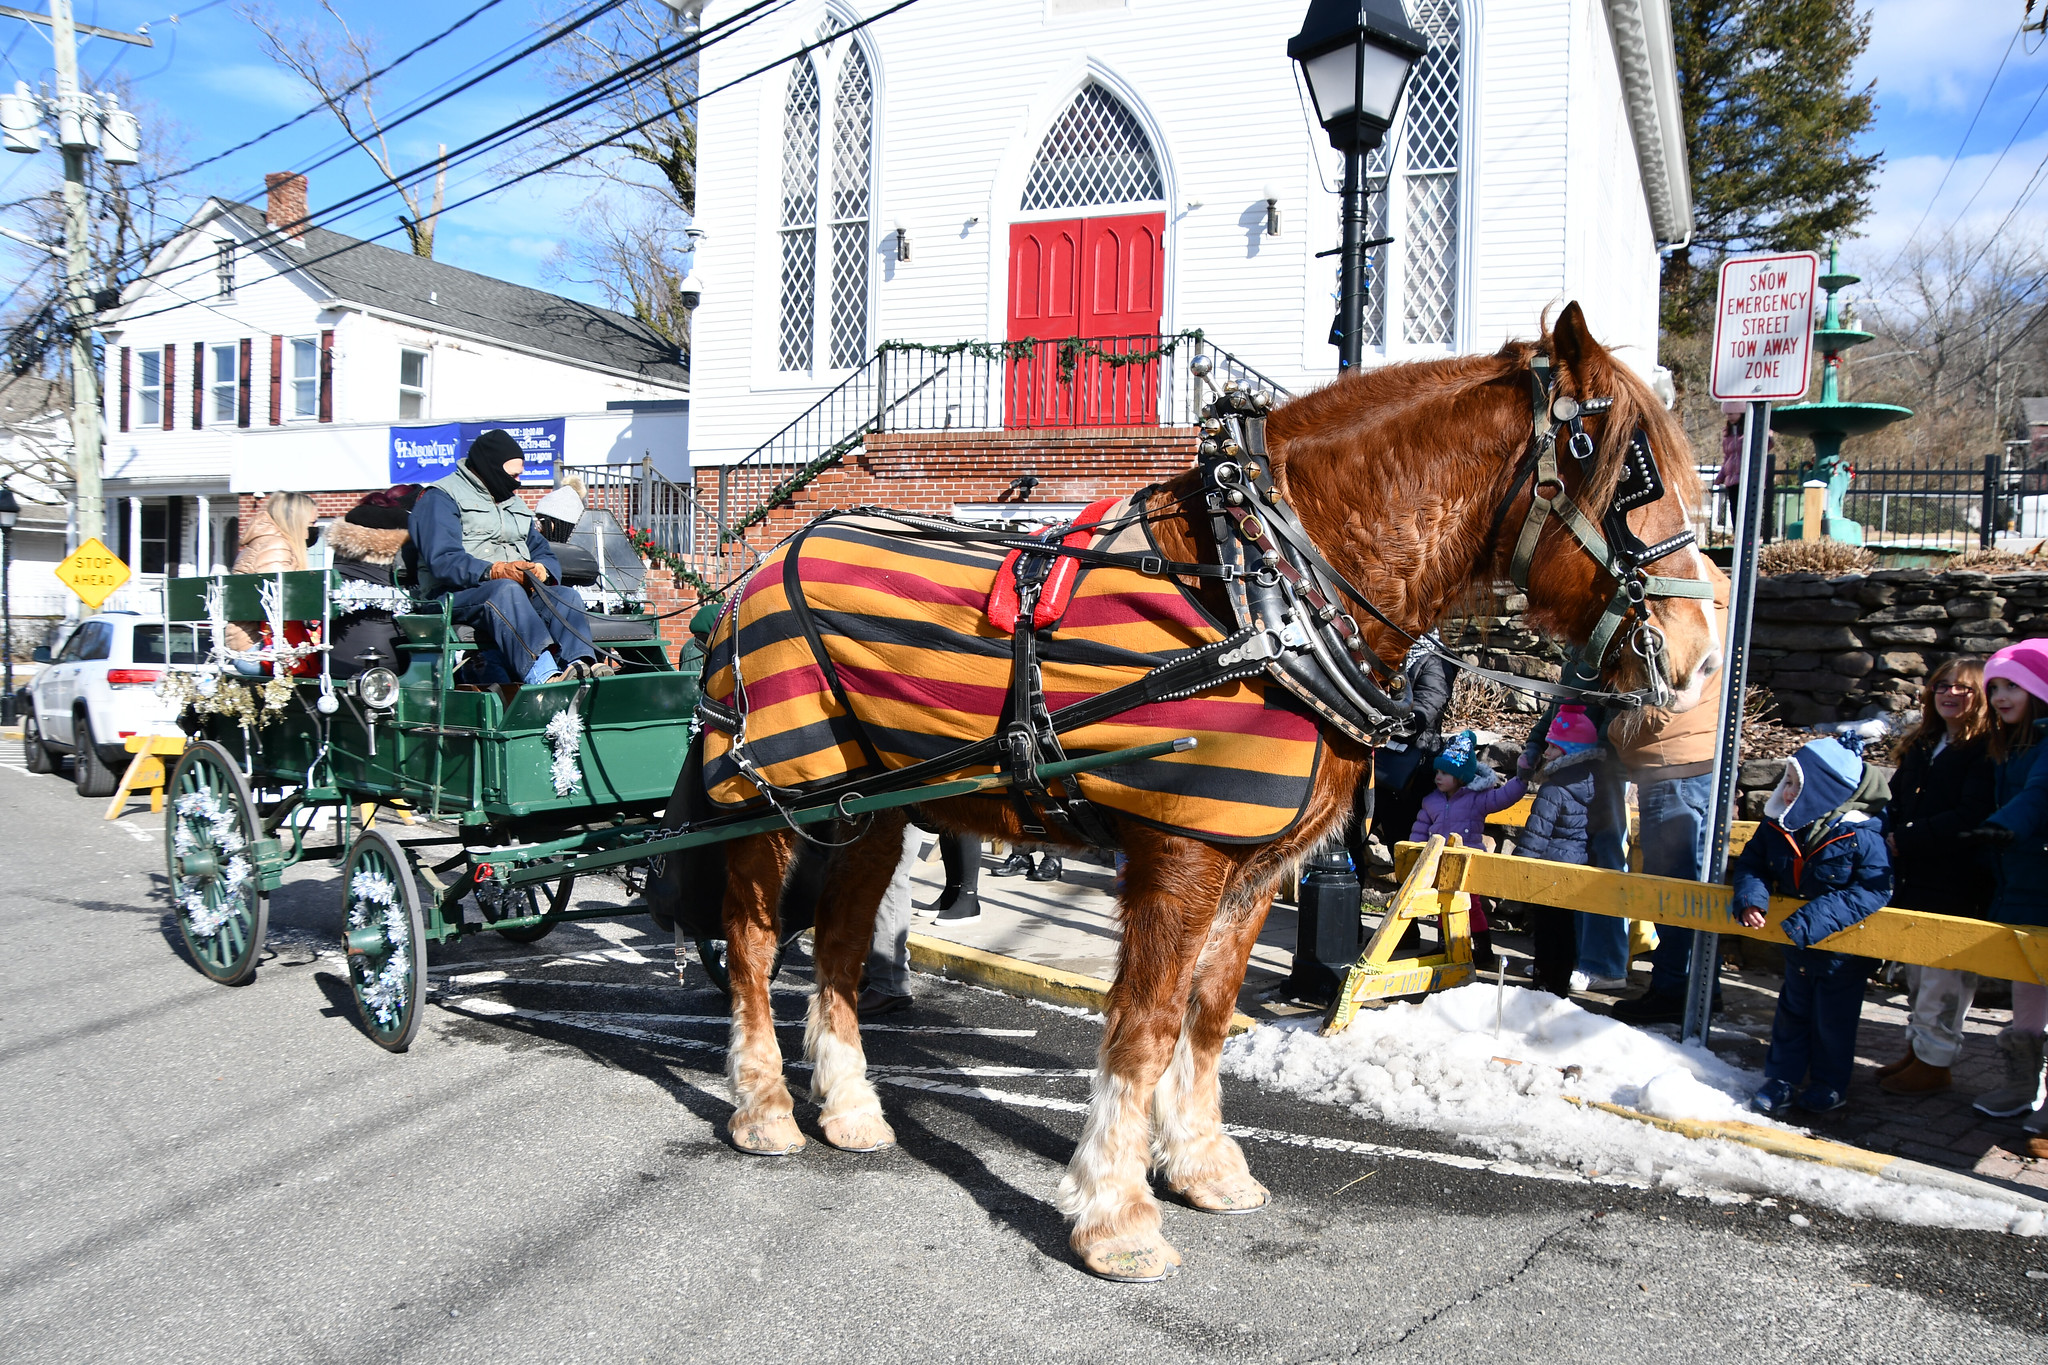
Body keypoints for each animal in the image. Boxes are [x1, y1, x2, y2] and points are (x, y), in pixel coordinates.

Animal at [696, 304, 1720, 1285]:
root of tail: (756, 568)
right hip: (768, 800)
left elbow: (1211, 1015)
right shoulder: (1180, 853)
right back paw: (764, 1105)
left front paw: (1199, 1164)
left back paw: (848, 1106)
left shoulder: (1255, 866)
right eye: (1627, 472)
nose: (1701, 655)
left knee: (837, 944)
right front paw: (1116, 1215)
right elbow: (1144, 1027)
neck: (1264, 593)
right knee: (751, 941)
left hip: (867, 810)